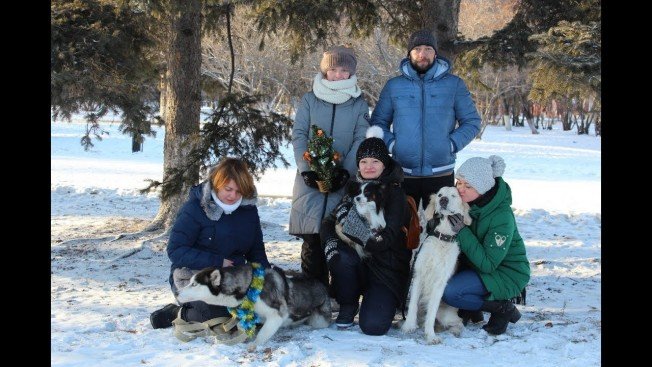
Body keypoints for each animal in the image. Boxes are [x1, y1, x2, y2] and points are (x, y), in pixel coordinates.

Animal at [176, 264, 332, 350]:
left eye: (194, 284)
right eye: (189, 282)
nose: (176, 293)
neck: (250, 287)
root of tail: (323, 286)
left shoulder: (276, 316)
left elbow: (263, 333)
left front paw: (254, 344)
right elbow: (243, 327)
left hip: (320, 321)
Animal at [400, 187, 472, 344]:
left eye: (454, 195)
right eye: (440, 195)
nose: (443, 200)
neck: (442, 239)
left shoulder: (440, 283)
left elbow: (432, 312)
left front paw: (431, 335)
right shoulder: (419, 274)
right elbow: (413, 305)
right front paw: (408, 326)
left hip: (446, 315)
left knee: (459, 323)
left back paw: (454, 331)